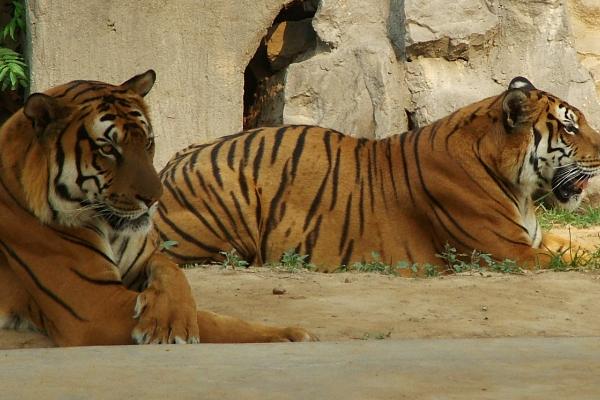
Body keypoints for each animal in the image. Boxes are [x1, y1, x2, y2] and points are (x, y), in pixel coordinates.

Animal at [0, 70, 316, 346]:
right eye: (107, 149)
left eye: (148, 142)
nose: (154, 198)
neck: (110, 229)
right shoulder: (96, 305)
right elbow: (214, 323)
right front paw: (288, 335)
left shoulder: (145, 259)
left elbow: (173, 272)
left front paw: (169, 319)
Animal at [156, 76, 600, 274]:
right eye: (570, 127)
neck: (519, 189)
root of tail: (171, 163)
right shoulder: (510, 252)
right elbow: (579, 261)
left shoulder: (536, 241)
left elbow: (580, 245)